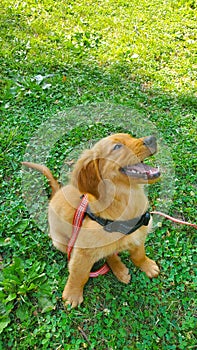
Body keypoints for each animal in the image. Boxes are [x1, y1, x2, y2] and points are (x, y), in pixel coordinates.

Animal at [21, 133, 160, 308]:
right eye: (117, 147)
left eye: (131, 136)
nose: (152, 139)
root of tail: (57, 193)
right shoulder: (82, 252)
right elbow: (79, 274)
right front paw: (72, 294)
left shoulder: (139, 234)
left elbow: (139, 254)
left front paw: (146, 265)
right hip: (60, 242)